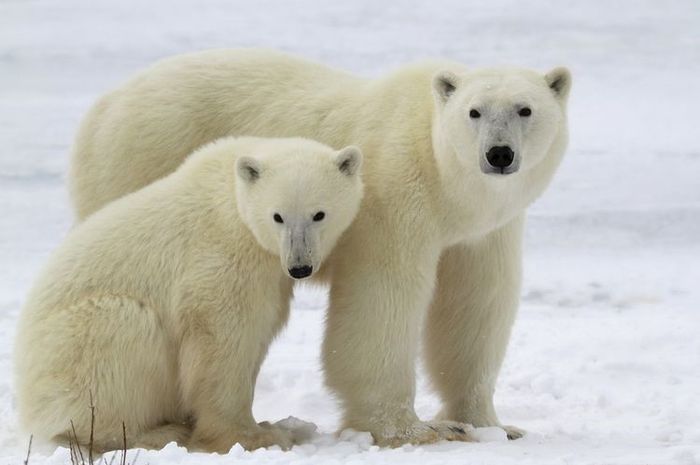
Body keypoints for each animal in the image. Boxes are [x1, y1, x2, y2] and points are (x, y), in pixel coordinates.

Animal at [15, 136, 364, 452]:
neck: (234, 197)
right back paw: (157, 433)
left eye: (319, 214)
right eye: (277, 216)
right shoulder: (220, 259)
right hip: (76, 346)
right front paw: (258, 436)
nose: (299, 266)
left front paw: (275, 426)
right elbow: (223, 341)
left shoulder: (269, 275)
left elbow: (258, 331)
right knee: (127, 331)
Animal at [67, 49, 568, 444]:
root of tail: (103, 105)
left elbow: (475, 306)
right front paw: (412, 430)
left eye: (525, 109)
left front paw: (492, 425)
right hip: (141, 158)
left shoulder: (483, 232)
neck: (445, 183)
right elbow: (383, 301)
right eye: (474, 112)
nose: (499, 154)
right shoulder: (394, 200)